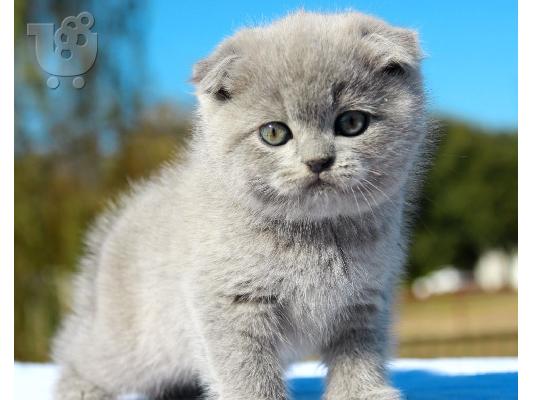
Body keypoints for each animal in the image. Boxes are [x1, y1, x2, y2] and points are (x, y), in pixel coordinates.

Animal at [53, 9, 432, 400]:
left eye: (353, 122)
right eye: (274, 133)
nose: (318, 161)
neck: (316, 235)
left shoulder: (365, 303)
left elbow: (359, 362)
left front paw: (363, 393)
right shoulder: (229, 305)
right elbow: (248, 375)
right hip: (136, 343)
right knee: (78, 352)